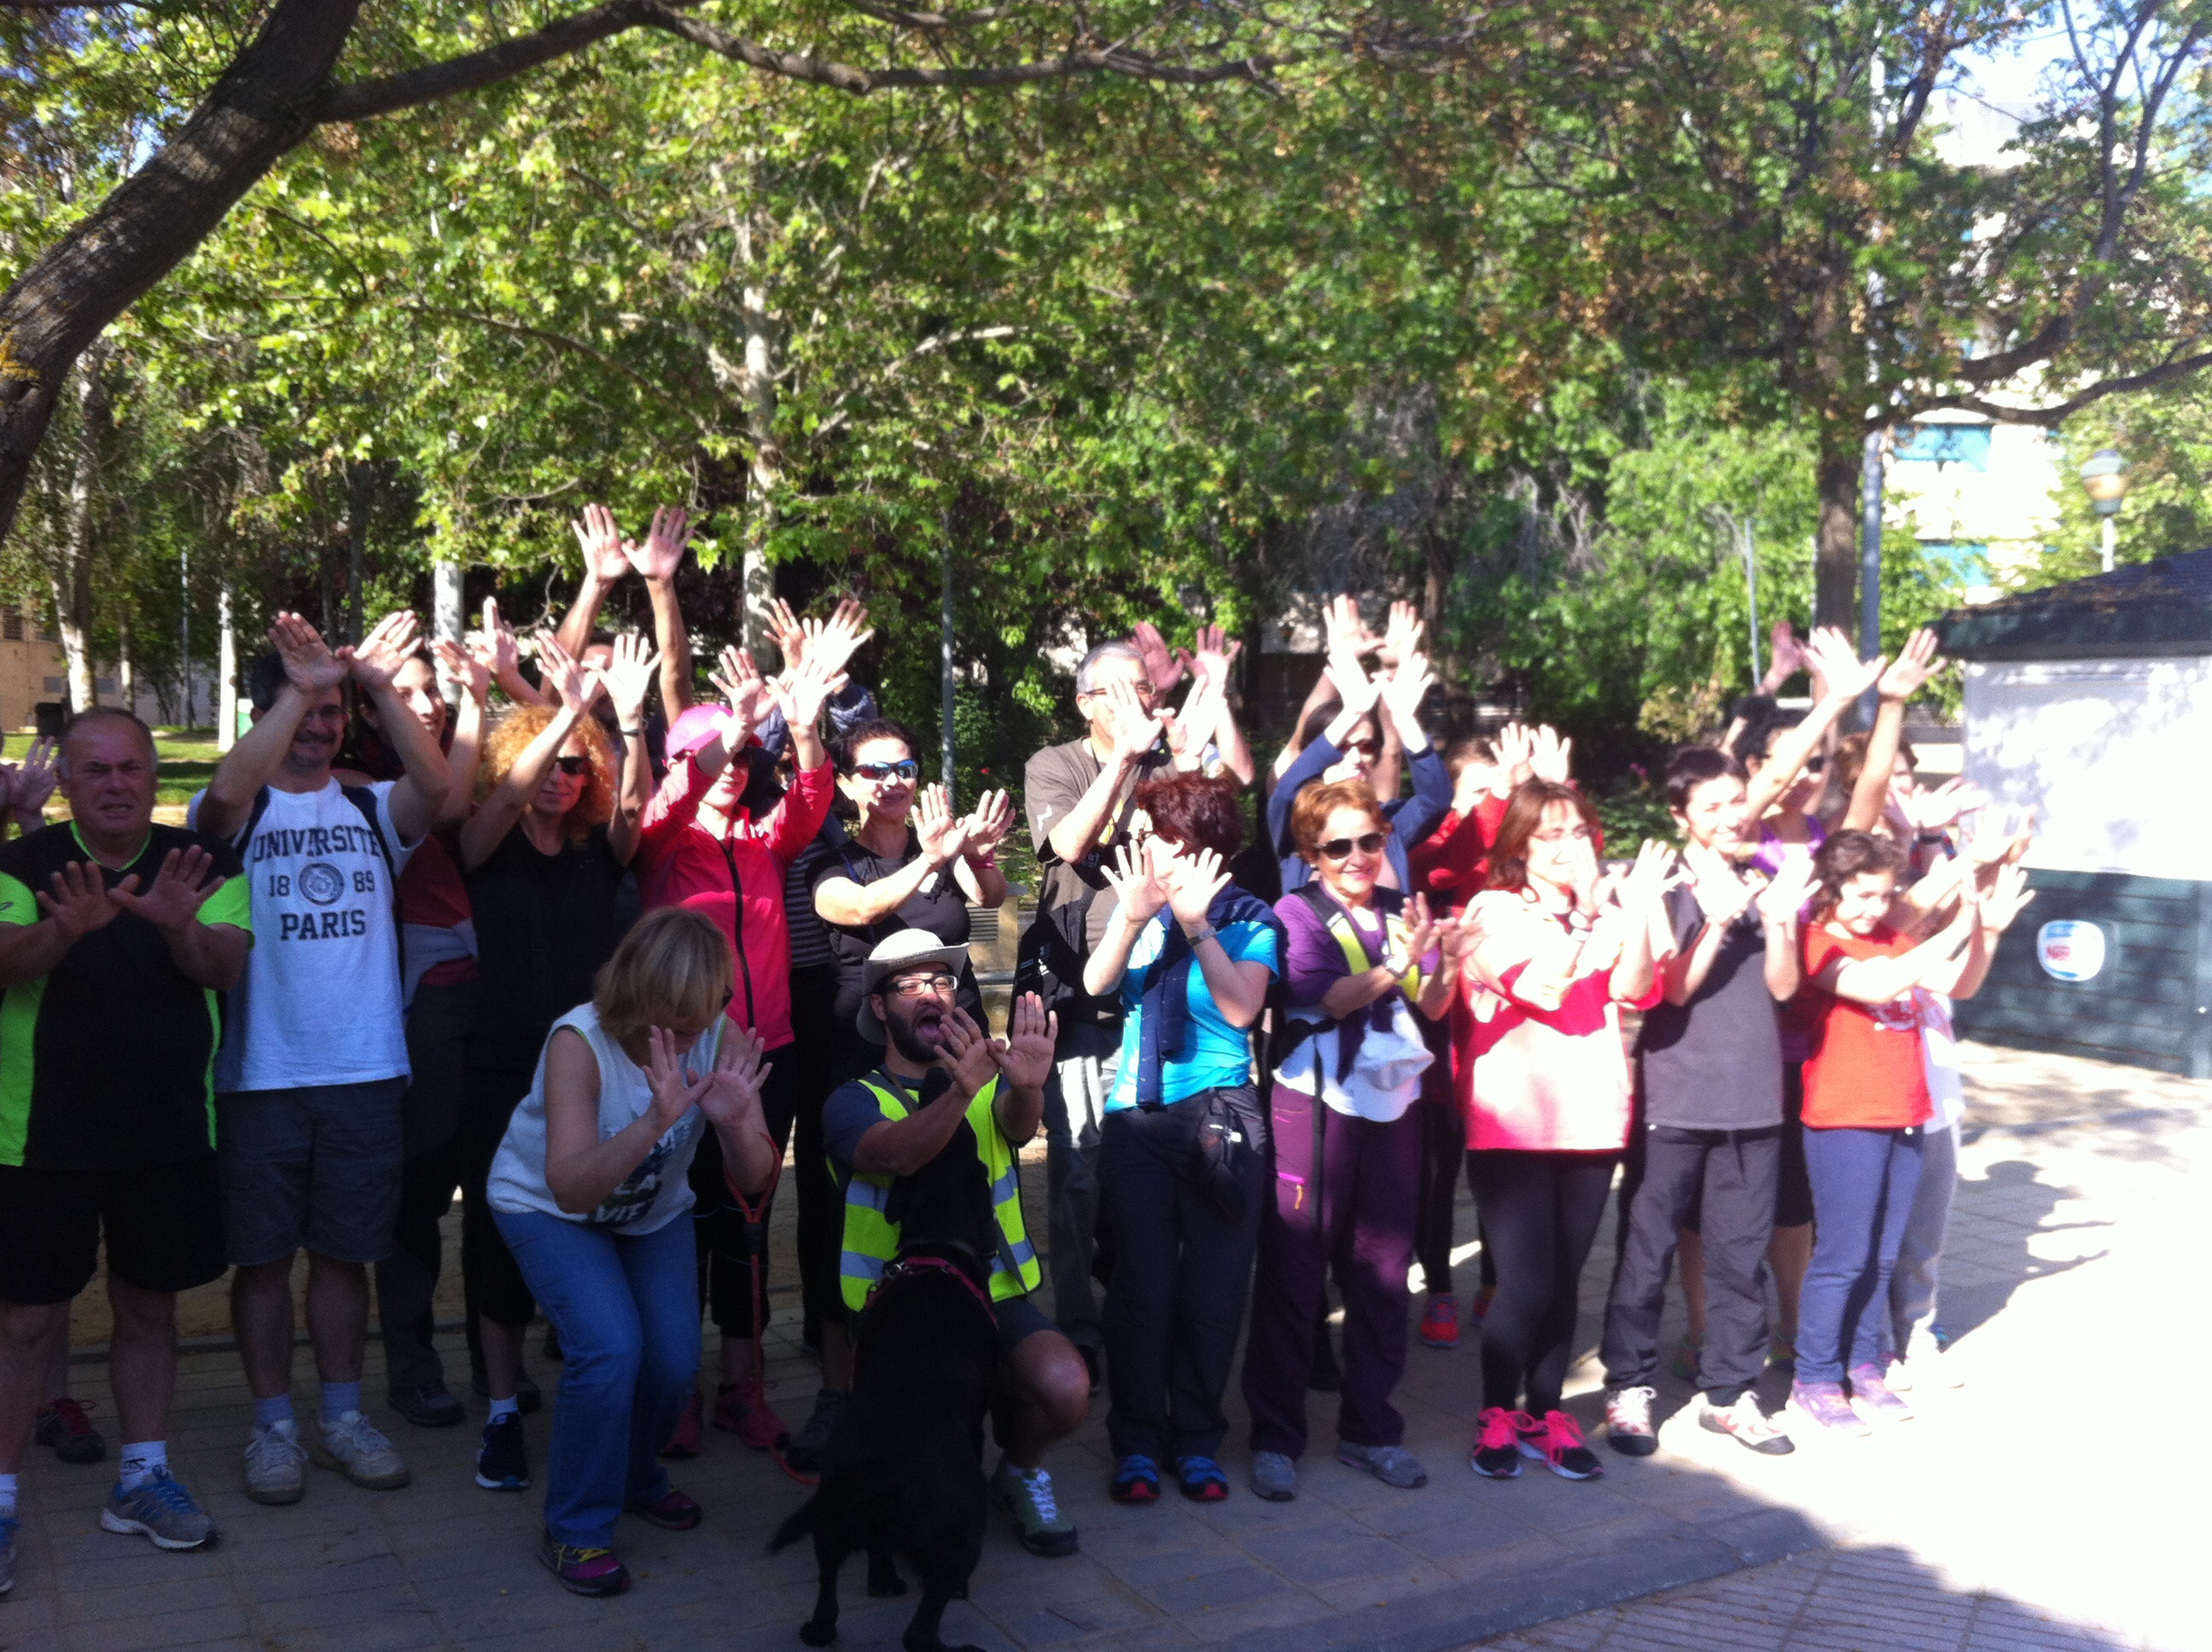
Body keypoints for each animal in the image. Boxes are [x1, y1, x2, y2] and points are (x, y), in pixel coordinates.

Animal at [765, 1141, 999, 1652]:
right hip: (963, 1529)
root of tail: (876, 1466)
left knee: (829, 1586)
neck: (935, 1244)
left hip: (830, 1522)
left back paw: (826, 1623)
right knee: (920, 1629)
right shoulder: (976, 1422)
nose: (961, 1130)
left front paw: (882, 1581)